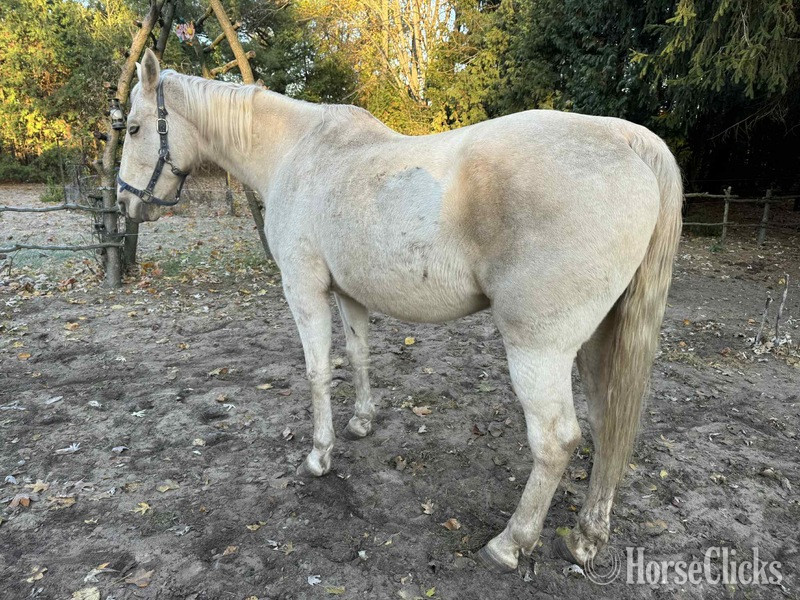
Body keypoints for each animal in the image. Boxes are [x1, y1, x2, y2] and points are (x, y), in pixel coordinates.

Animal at [117, 48, 682, 573]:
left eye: (134, 127)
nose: (126, 202)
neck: (297, 153)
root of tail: (624, 139)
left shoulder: (303, 289)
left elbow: (318, 372)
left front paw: (319, 456)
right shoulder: (348, 292)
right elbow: (358, 355)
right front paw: (362, 422)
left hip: (538, 349)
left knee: (556, 440)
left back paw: (510, 543)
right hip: (597, 340)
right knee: (609, 423)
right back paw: (587, 537)